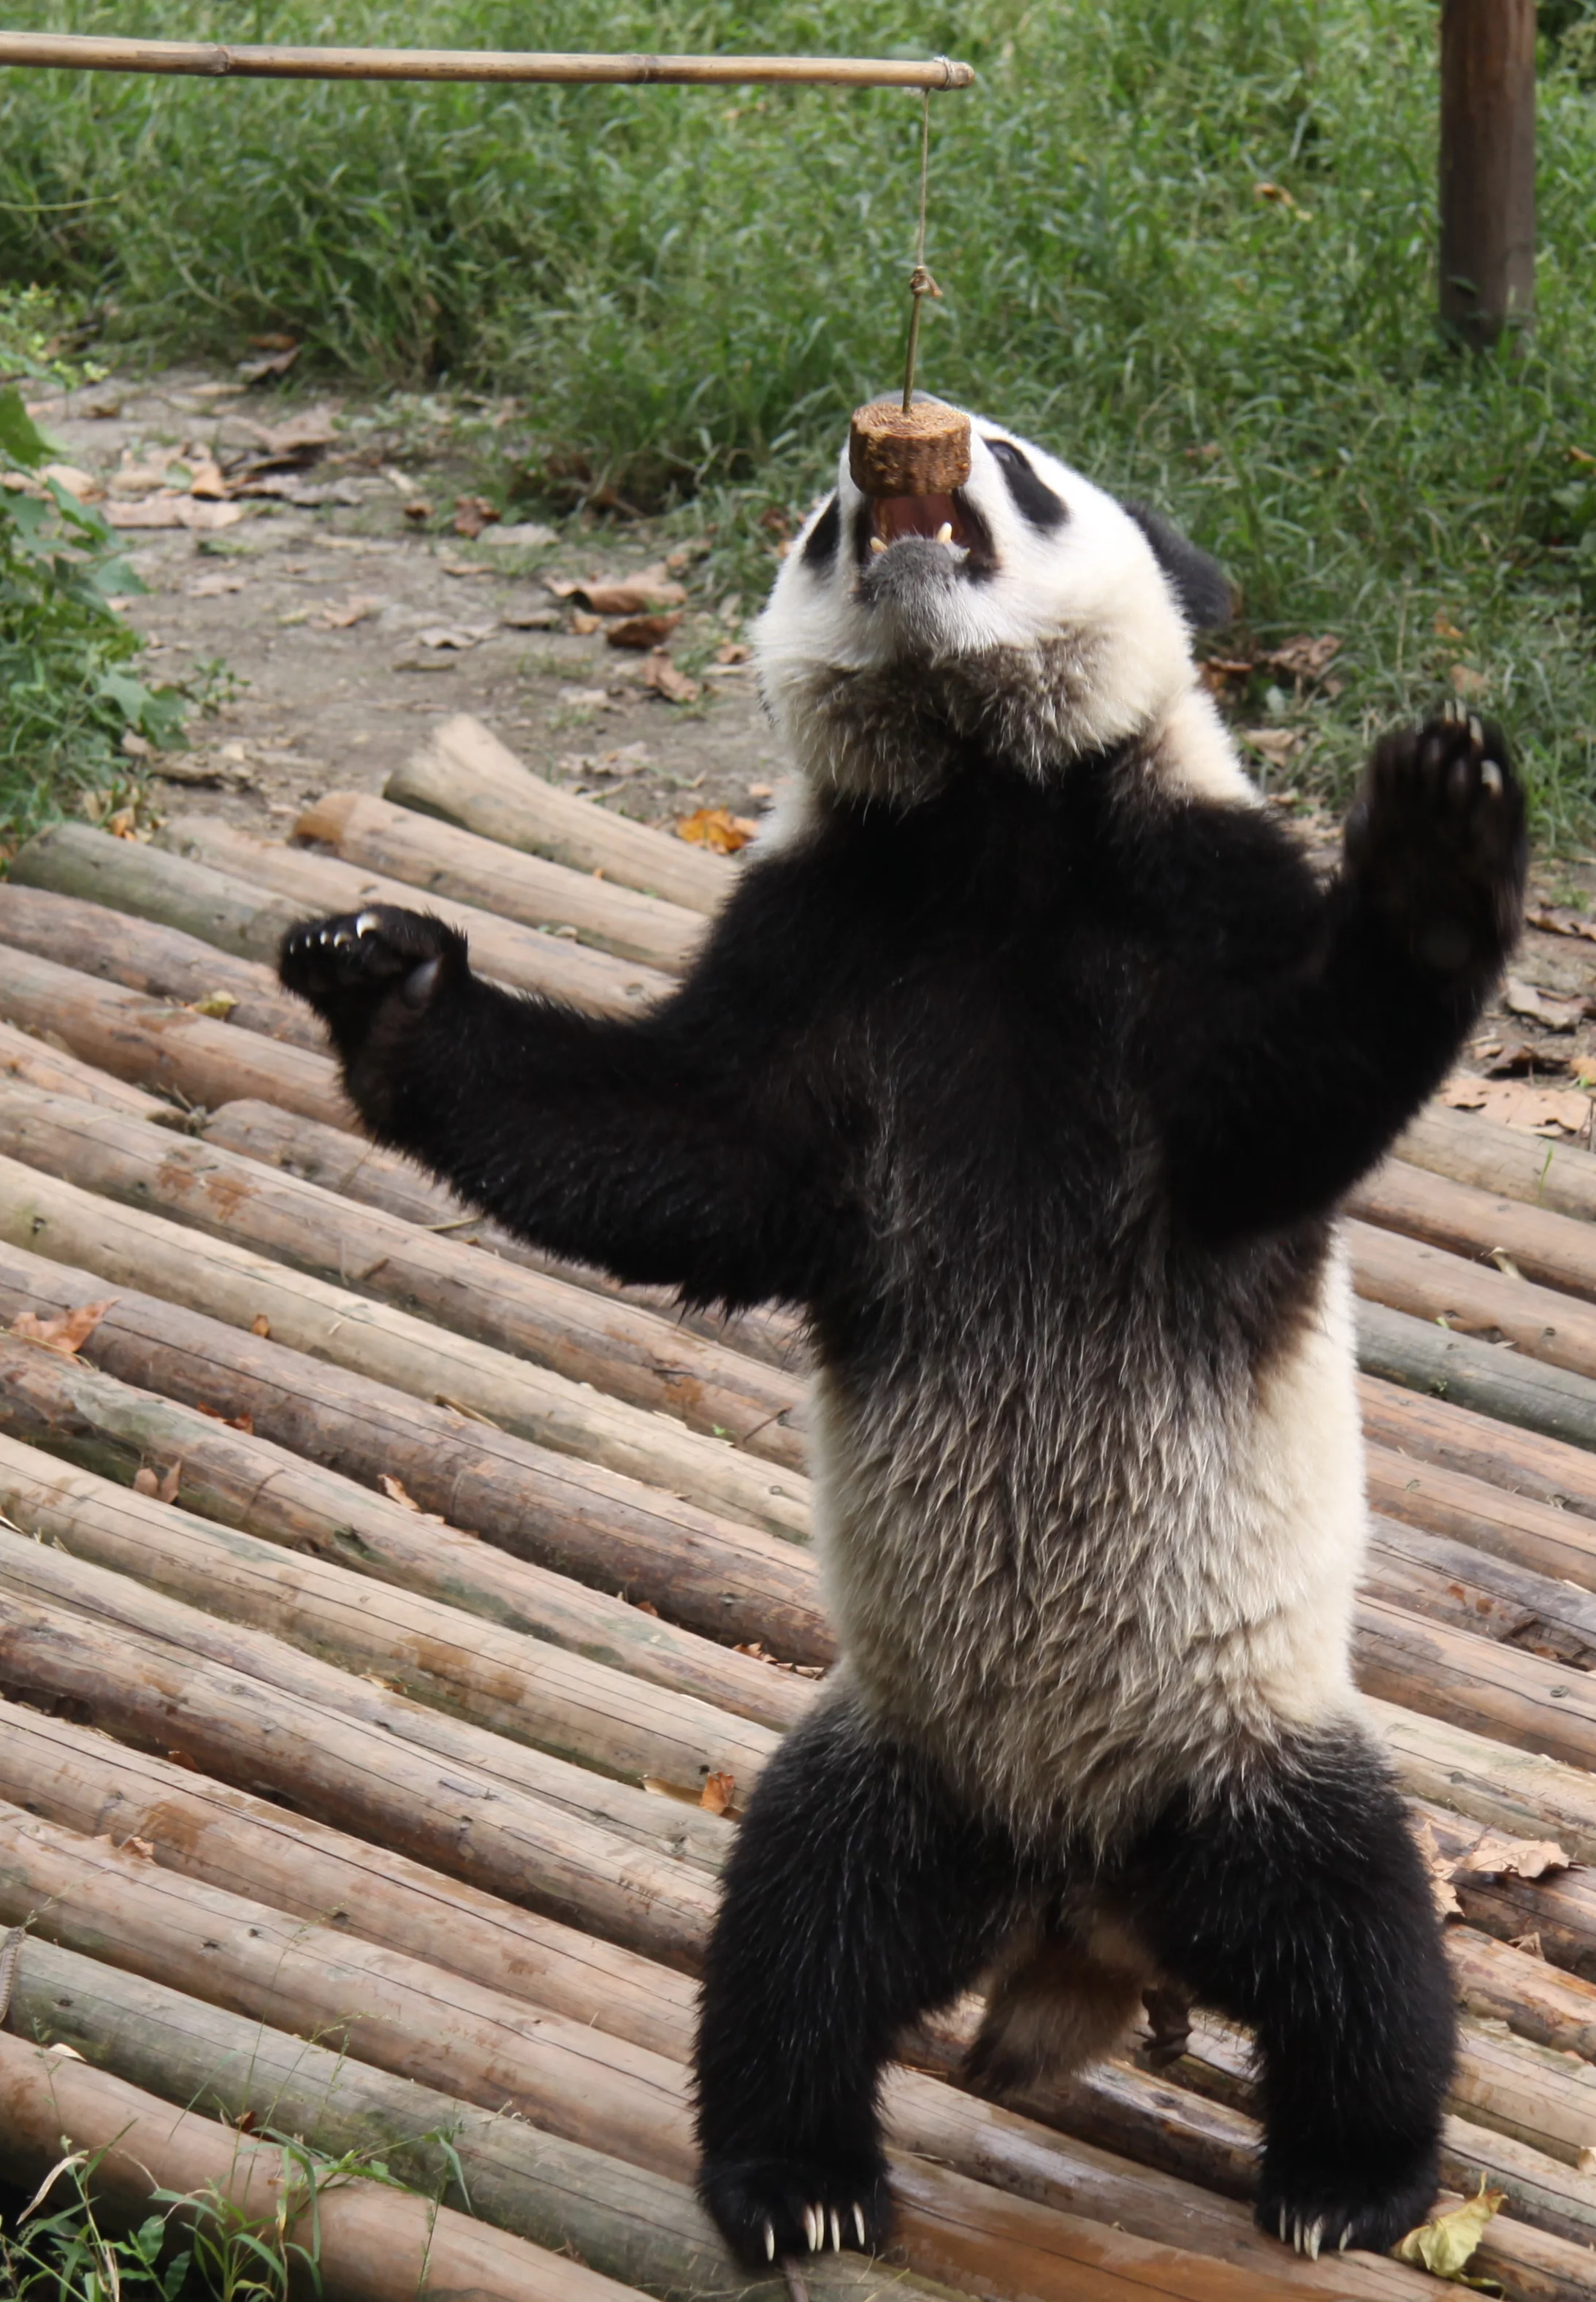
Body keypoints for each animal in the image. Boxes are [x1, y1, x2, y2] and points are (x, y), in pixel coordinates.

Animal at [280, 403, 1526, 2268]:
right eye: (817, 520)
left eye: (1026, 473)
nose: (899, 466)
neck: (986, 813)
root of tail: (1078, 1895)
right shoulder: (828, 940)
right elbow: (686, 1154)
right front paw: (382, 975)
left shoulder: (1178, 896)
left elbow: (1277, 1104)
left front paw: (1440, 850)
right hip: (899, 1755)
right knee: (796, 1936)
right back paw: (793, 2180)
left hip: (1241, 1731)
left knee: (1356, 1933)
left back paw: (1347, 2177)